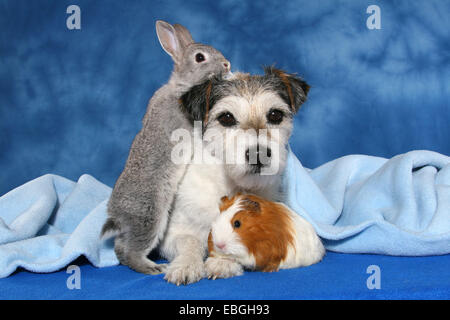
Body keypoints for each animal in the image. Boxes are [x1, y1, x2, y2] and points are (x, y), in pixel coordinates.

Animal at [102, 20, 232, 276]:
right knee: (132, 250)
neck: (181, 86)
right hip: (150, 217)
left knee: (121, 248)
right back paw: (152, 268)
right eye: (200, 57)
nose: (226, 63)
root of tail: (117, 215)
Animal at [157, 68, 310, 284]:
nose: (258, 154)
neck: (233, 185)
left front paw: (223, 262)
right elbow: (189, 240)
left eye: (275, 114)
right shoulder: (173, 233)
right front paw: (186, 265)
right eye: (226, 117)